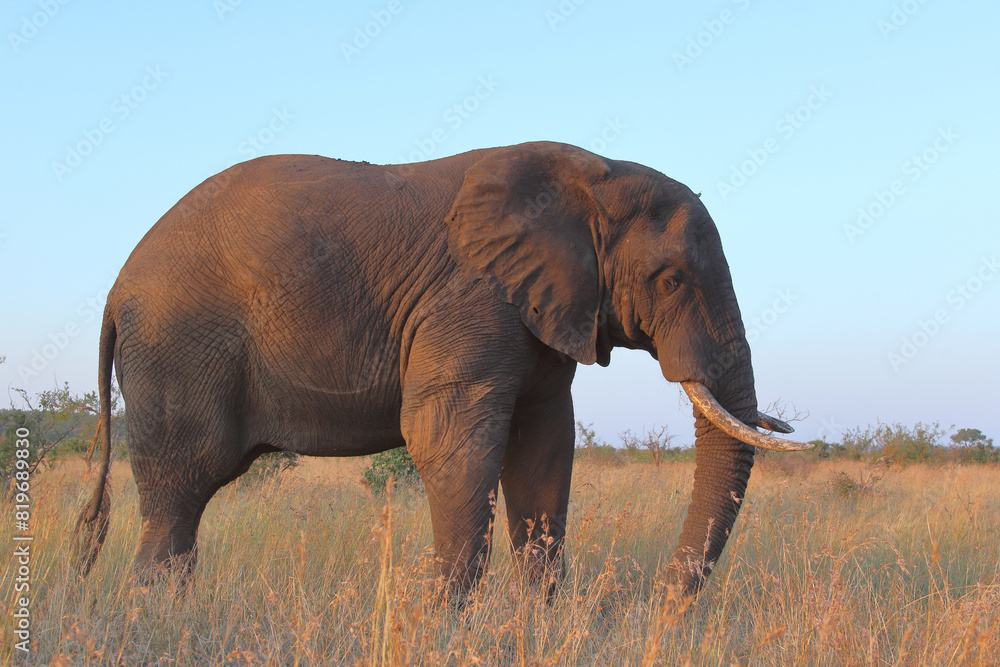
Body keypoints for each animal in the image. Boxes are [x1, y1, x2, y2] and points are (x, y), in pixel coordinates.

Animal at [76, 141, 808, 598]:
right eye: (671, 279)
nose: (659, 602)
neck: (593, 175)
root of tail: (115, 289)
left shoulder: (539, 312)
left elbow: (544, 450)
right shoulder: (472, 302)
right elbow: (450, 444)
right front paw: (444, 624)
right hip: (177, 351)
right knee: (180, 494)